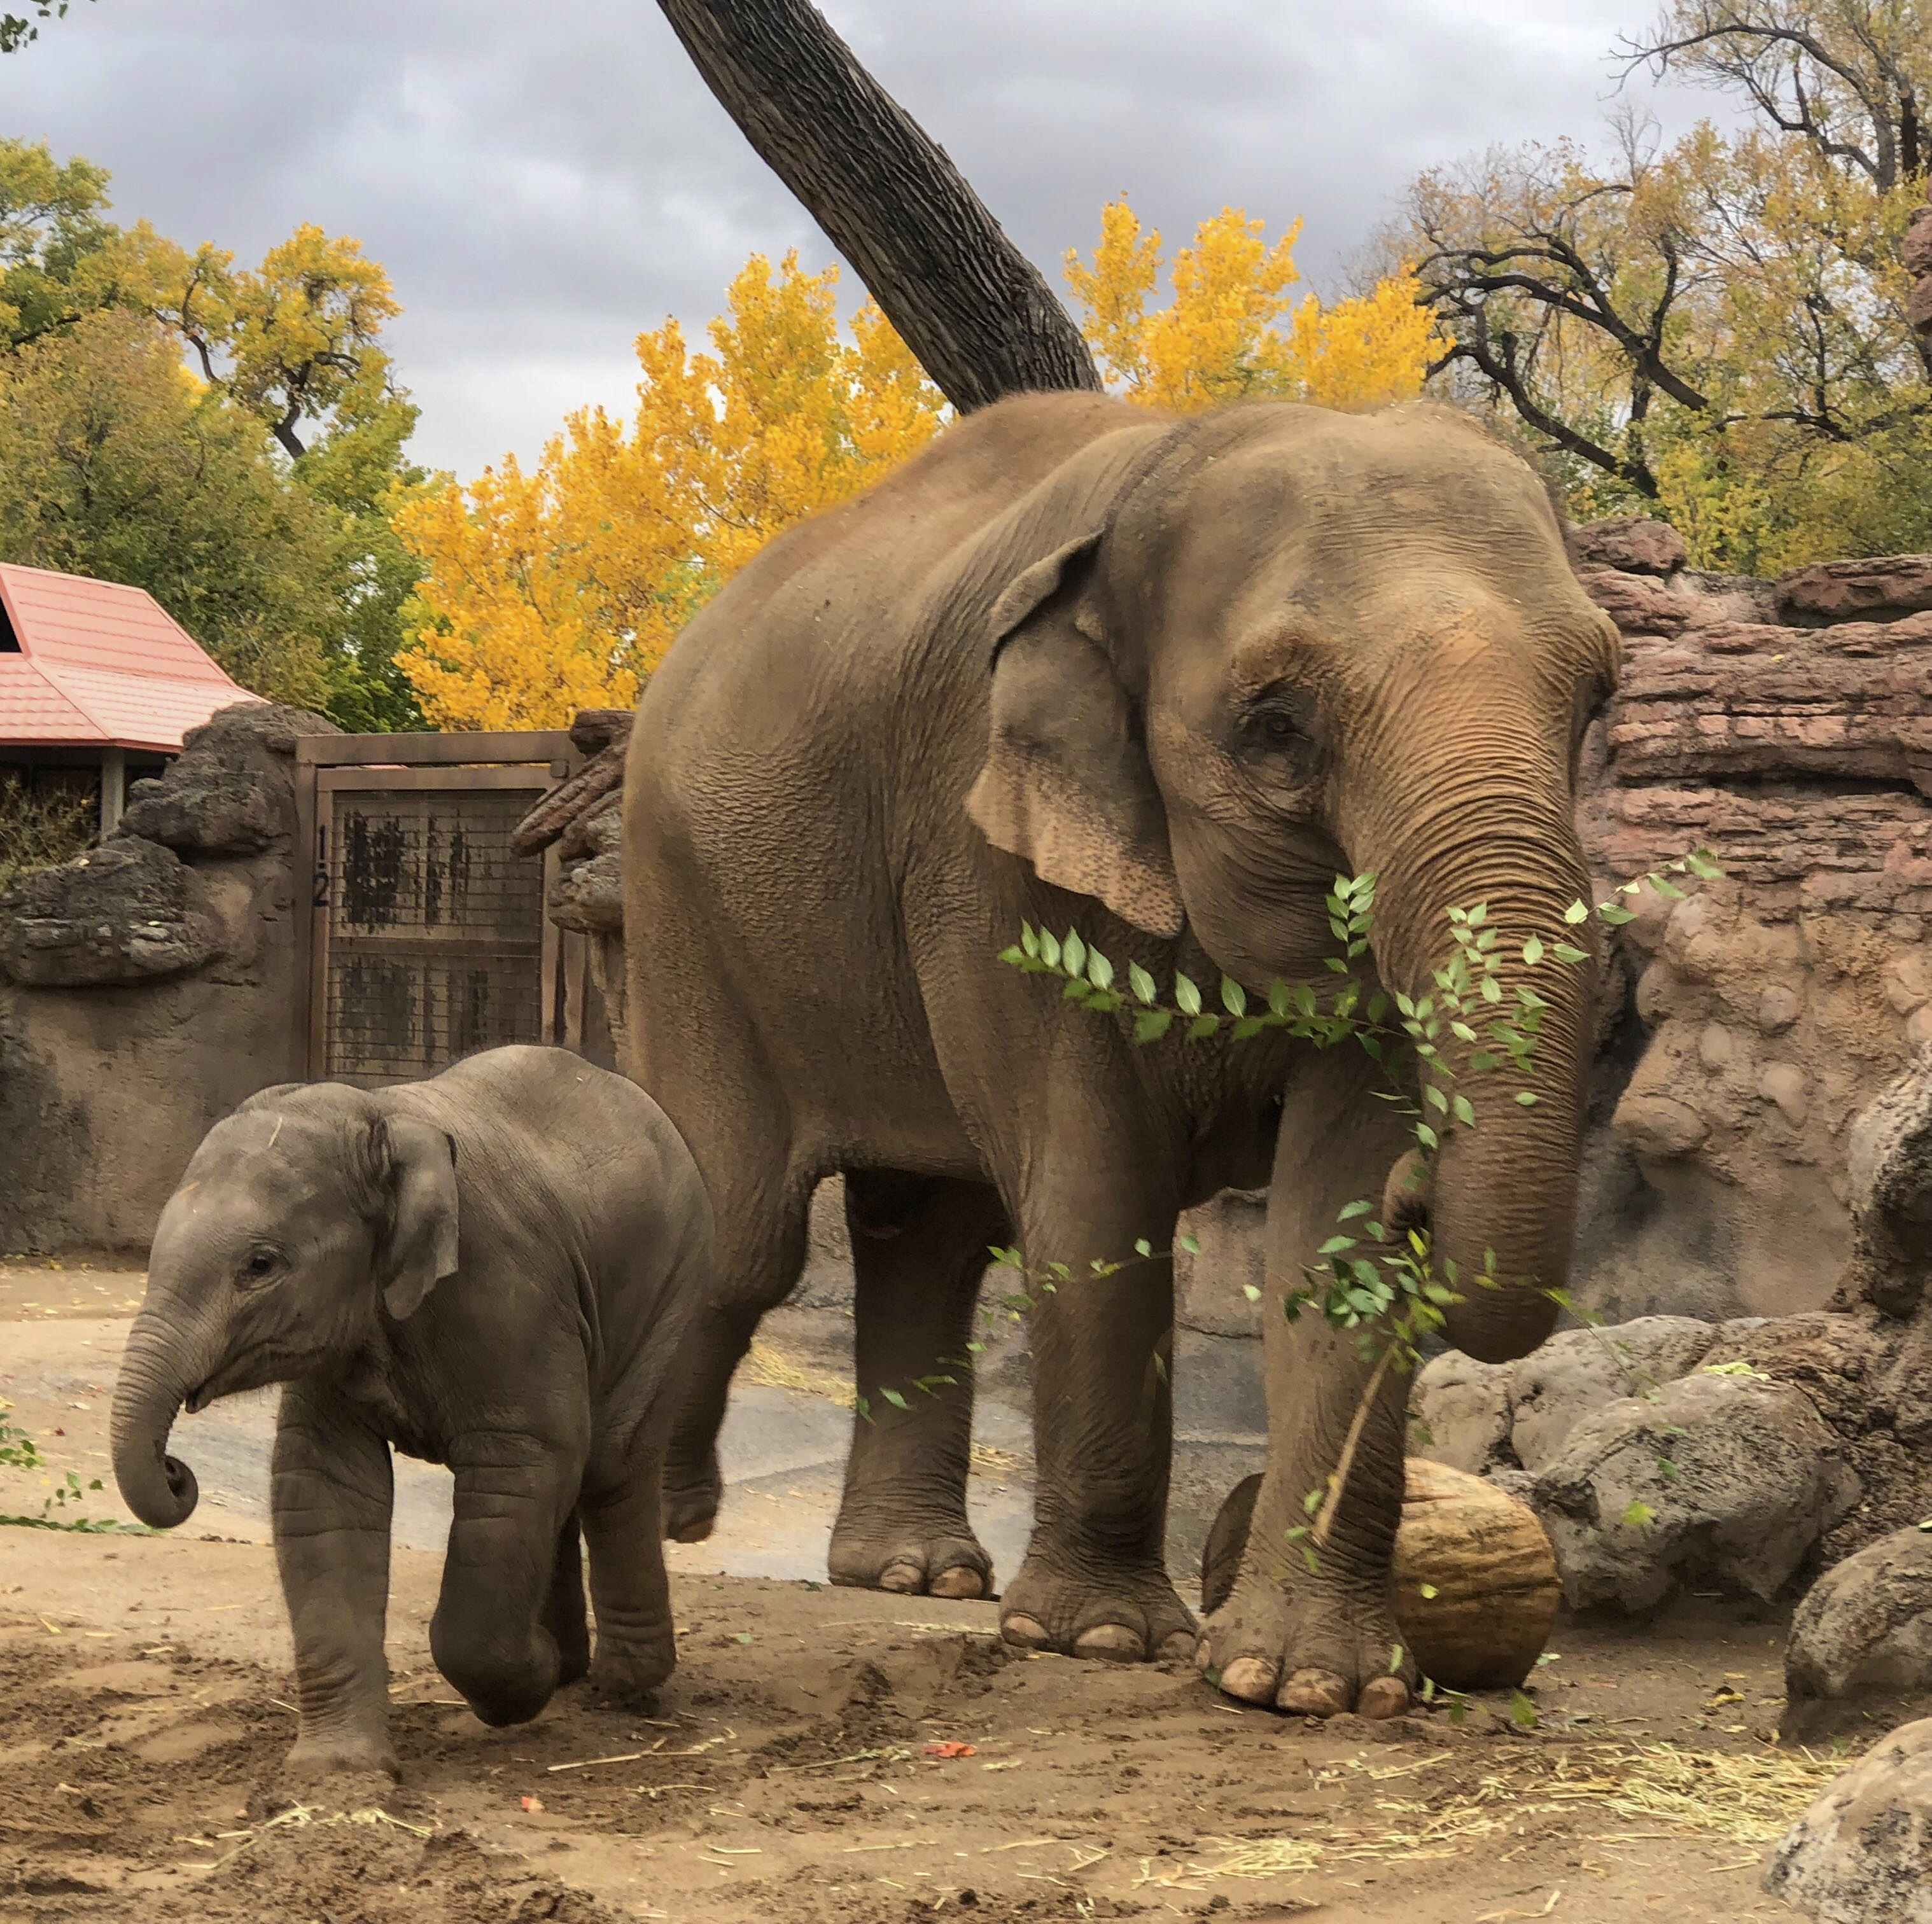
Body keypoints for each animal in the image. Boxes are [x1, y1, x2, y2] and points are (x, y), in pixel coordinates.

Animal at [108, 1043, 711, 1785]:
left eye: (261, 1264)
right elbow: (324, 1492)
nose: (176, 1470)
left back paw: (626, 1688)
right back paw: (571, 1668)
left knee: (610, 1466)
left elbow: (523, 1467)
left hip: (673, 1285)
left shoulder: (509, 1290)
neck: (382, 1119)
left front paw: (527, 1680)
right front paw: (337, 1778)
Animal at [622, 390, 1615, 1715]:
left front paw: (1308, 1685)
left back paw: (914, 1573)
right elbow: (1098, 1191)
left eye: (1595, 698)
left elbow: (1328, 1211)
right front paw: (1099, 1639)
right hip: (683, 913)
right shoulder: (983, 845)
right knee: (743, 1234)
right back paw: (673, 1519)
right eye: (1276, 728)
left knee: (924, 1233)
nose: (1428, 1188)